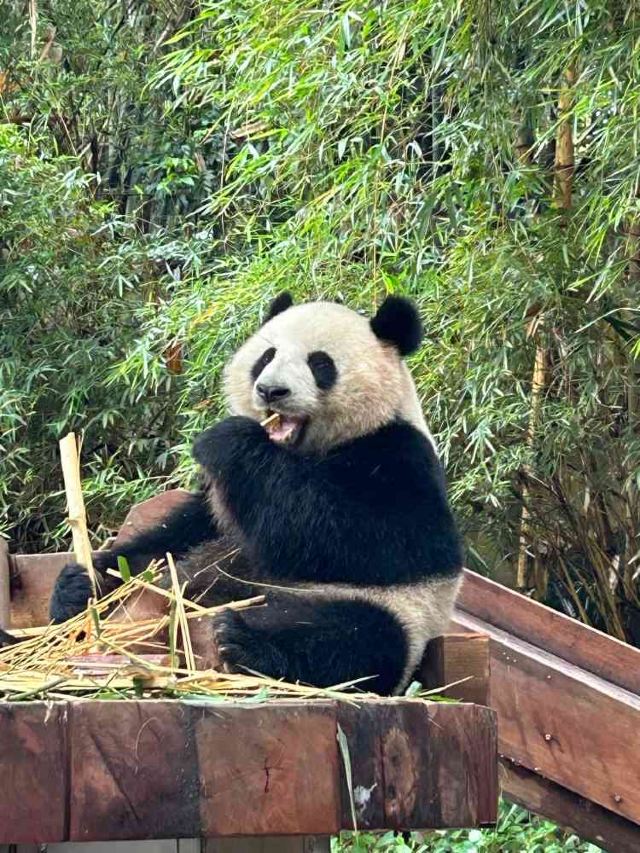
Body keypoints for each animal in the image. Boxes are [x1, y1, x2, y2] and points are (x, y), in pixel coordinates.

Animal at [49, 293, 463, 695]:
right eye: (267, 356)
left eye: (320, 363)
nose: (270, 391)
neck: (294, 450)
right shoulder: (222, 499)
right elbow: (174, 538)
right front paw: (85, 582)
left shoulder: (398, 454)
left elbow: (376, 538)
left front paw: (231, 441)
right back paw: (82, 602)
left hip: (383, 611)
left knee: (356, 639)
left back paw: (242, 642)